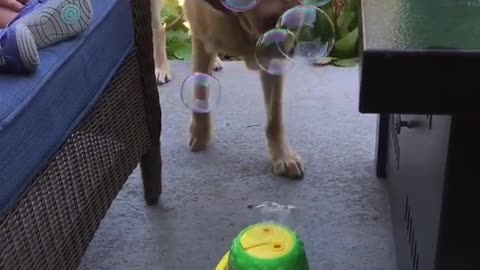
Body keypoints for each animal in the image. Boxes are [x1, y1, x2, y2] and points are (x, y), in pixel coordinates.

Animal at [152, 0, 306, 179]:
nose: (283, 20)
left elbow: (275, 117)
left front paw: (283, 156)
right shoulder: (202, 38)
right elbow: (200, 90)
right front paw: (200, 134)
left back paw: (216, 61)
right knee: (159, 29)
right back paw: (161, 67)